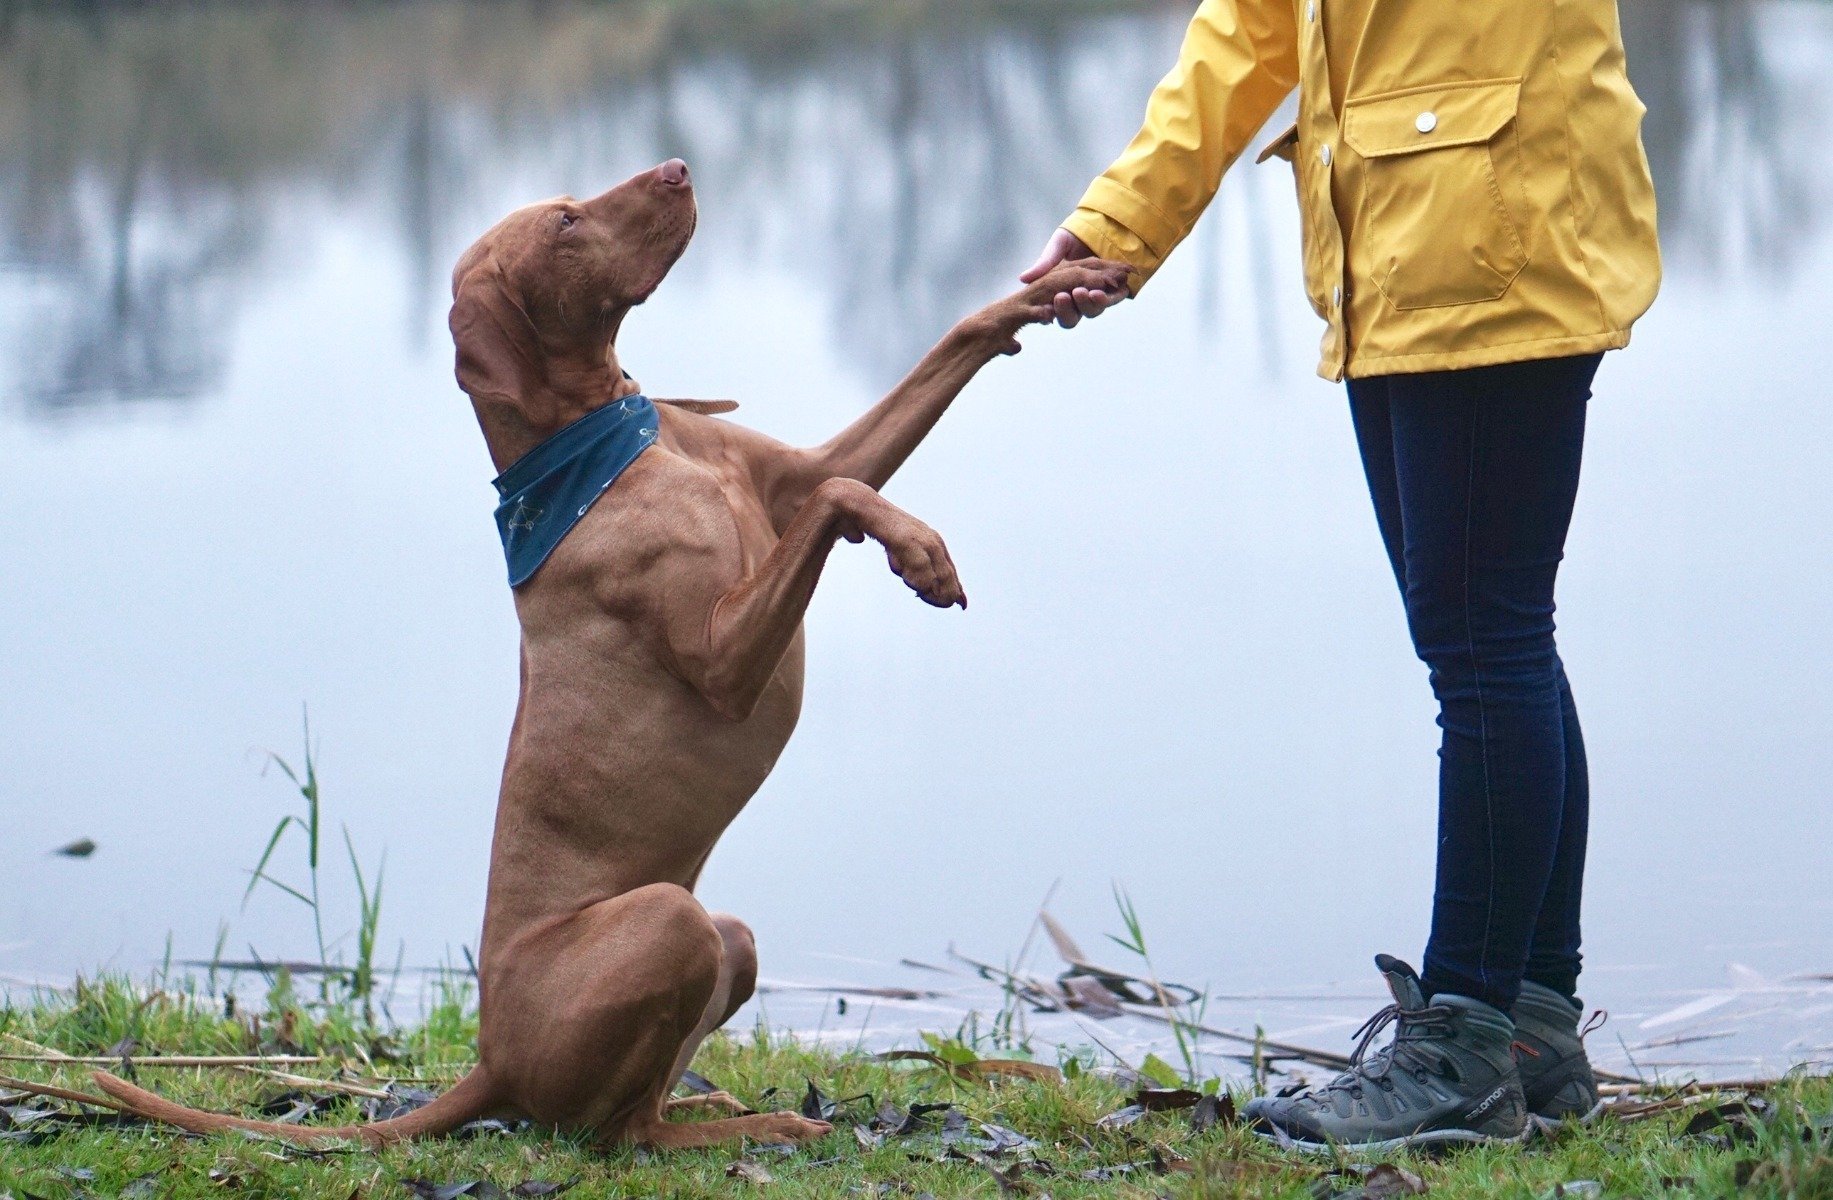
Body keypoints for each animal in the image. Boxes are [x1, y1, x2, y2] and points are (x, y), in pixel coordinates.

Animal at [100, 157, 1129, 1143]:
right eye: (565, 222)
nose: (677, 165)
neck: (611, 441)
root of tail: (491, 1064)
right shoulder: (723, 658)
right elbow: (845, 495)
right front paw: (918, 549)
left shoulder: (793, 477)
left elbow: (926, 370)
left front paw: (1051, 285)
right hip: (672, 921)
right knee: (618, 1134)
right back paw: (756, 1126)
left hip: (729, 938)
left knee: (648, 1100)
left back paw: (729, 1111)